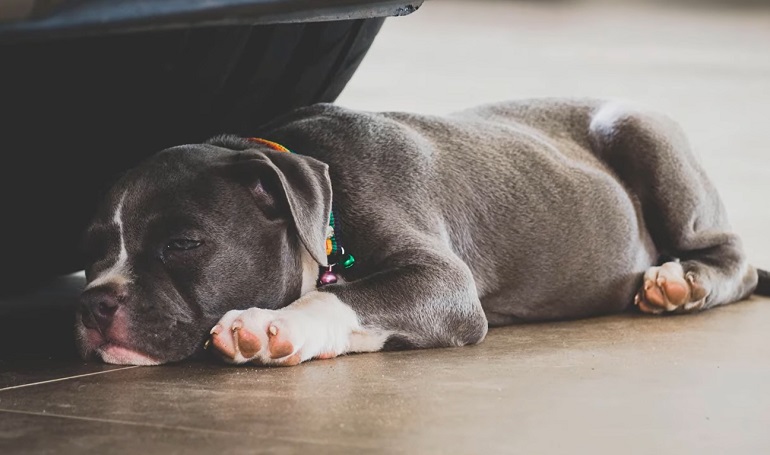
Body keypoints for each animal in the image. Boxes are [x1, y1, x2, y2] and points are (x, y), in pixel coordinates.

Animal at [76, 98, 768, 366]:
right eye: (92, 251)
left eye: (183, 245)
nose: (93, 303)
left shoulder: (442, 282)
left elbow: (342, 297)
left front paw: (274, 326)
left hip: (639, 131)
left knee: (732, 255)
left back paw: (681, 282)